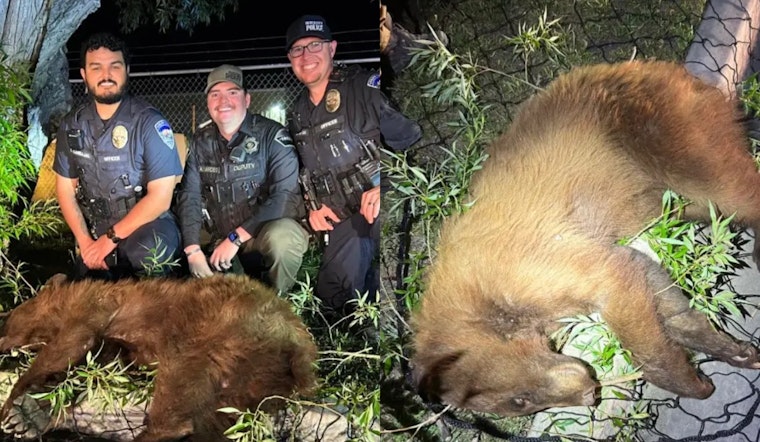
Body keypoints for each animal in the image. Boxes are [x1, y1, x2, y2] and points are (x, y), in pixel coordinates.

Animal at [0, 273, 318, 441]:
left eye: (10, 316)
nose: (1, 330)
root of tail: (301, 348)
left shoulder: (94, 309)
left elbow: (70, 344)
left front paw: (11, 410)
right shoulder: (118, 345)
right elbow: (98, 361)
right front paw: (27, 414)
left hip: (217, 330)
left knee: (178, 388)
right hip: (253, 383)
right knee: (213, 420)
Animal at [410, 60, 760, 418]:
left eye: (521, 399)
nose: (589, 393)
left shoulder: (522, 262)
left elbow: (617, 293)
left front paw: (690, 381)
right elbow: (651, 284)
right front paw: (732, 350)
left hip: (662, 135)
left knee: (729, 190)